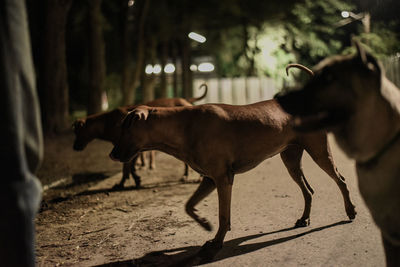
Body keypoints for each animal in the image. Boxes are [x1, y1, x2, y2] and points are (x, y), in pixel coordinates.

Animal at [72, 84, 208, 188]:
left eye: (78, 131)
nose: (74, 147)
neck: (107, 122)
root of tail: (186, 101)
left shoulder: (131, 149)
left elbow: (128, 167)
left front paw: (129, 181)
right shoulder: (127, 149)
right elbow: (128, 167)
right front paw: (128, 181)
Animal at [276, 40, 400, 266]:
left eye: (329, 78)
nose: (278, 97)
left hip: (319, 154)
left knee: (339, 180)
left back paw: (349, 210)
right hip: (291, 160)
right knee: (310, 190)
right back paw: (306, 218)